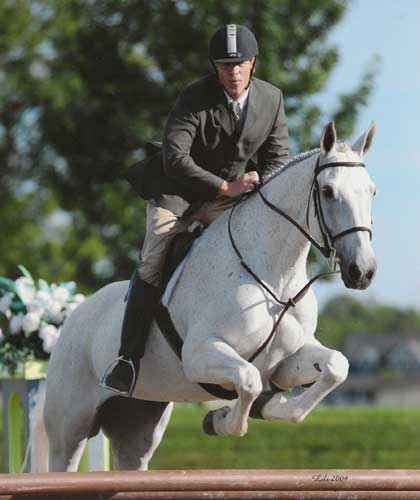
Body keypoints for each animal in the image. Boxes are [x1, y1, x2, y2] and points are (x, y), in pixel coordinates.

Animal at [37, 122, 378, 472]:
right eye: (328, 191)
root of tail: (73, 316)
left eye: (372, 191)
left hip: (137, 422)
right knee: (62, 458)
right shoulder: (200, 355)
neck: (274, 278)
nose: (362, 271)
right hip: (69, 427)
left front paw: (270, 406)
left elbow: (336, 366)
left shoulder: (285, 361)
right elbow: (249, 381)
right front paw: (220, 420)